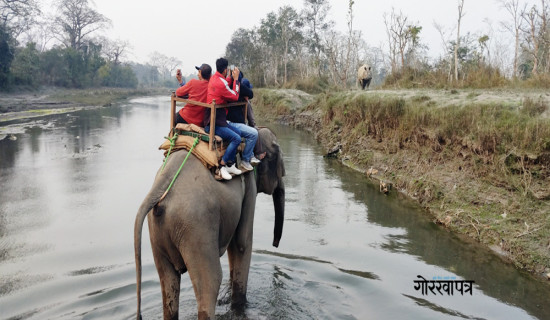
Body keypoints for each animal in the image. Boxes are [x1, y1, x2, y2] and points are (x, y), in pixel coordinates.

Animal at [136, 126, 286, 318]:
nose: (275, 244)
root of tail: (162, 184)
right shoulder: (250, 186)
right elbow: (242, 243)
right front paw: (239, 306)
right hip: (196, 228)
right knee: (210, 282)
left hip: (158, 231)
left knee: (167, 280)